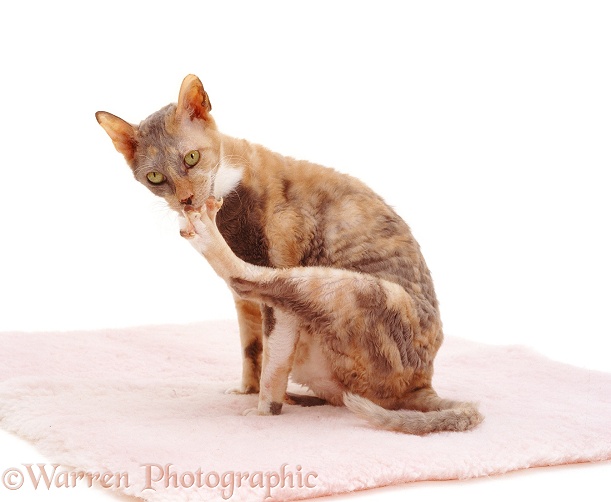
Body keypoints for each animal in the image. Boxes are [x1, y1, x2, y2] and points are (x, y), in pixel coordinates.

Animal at [95, 72, 482, 434]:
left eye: (191, 158)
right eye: (155, 177)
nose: (187, 200)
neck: (227, 192)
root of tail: (424, 383)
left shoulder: (280, 274)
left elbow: (274, 357)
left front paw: (264, 410)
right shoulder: (247, 309)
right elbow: (252, 348)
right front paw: (247, 392)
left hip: (356, 289)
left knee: (250, 278)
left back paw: (205, 235)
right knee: (336, 392)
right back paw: (300, 397)